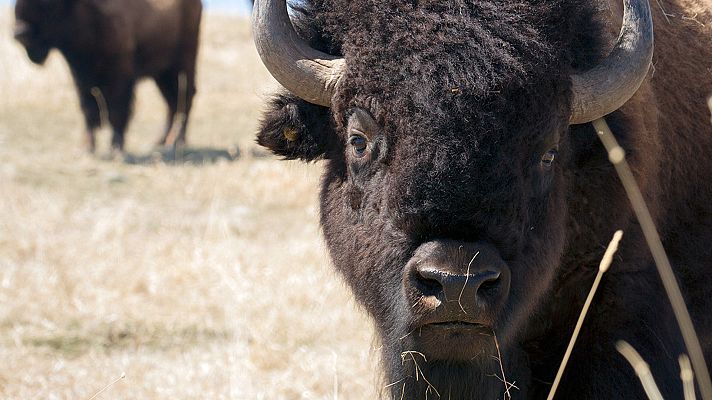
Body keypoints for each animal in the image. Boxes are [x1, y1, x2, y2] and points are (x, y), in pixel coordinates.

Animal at [13, 0, 203, 153]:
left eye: (48, 4)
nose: (19, 32)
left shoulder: (120, 78)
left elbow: (117, 111)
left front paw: (116, 148)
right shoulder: (82, 78)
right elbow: (88, 110)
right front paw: (87, 147)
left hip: (183, 65)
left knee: (184, 99)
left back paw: (177, 142)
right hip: (162, 74)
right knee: (172, 102)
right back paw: (161, 141)